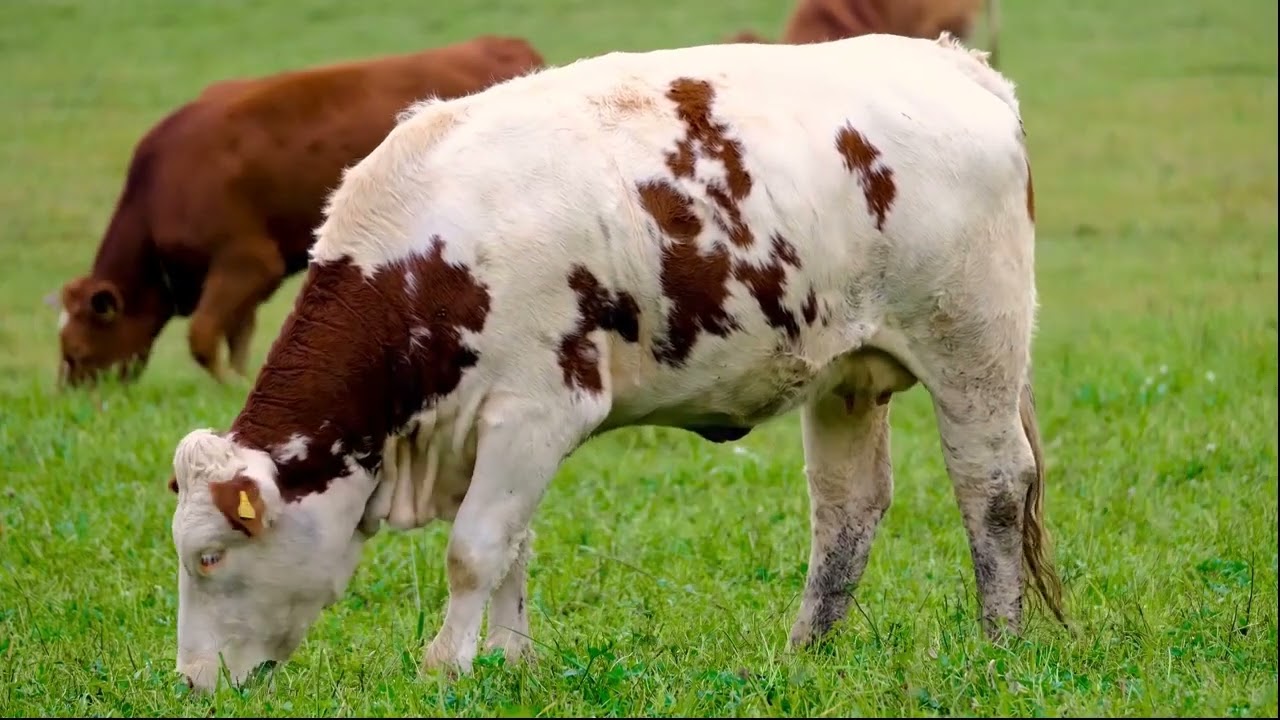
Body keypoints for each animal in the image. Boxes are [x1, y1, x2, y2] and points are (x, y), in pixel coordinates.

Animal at [46, 35, 545, 388]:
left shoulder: (247, 260)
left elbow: (203, 336)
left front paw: (229, 385)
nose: (74, 397)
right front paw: (241, 377)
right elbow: (238, 335)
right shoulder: (249, 279)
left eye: (79, 353)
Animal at [165, 32, 1066, 692]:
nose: (192, 682)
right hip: (847, 372)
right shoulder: (495, 433)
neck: (436, 252)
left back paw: (999, 642)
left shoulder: (534, 413)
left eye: (210, 556)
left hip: (973, 346)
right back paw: (807, 650)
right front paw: (509, 659)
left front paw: (447, 666)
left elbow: (475, 548)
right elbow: (514, 546)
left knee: (991, 486)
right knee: (848, 510)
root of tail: (954, 64)